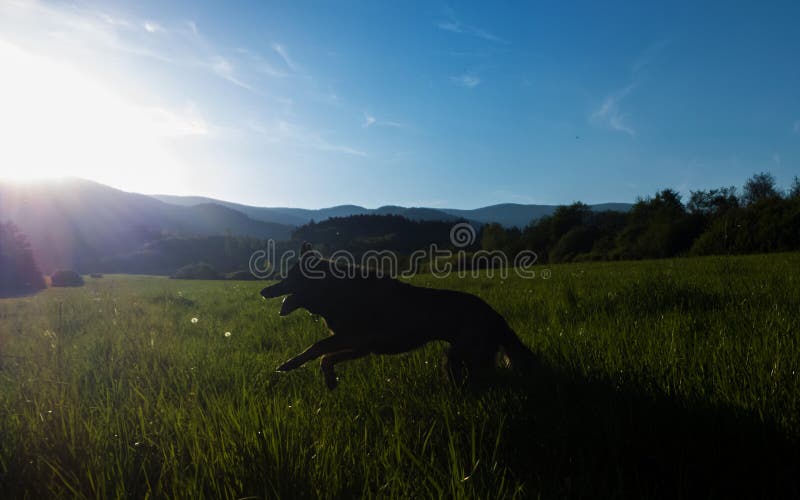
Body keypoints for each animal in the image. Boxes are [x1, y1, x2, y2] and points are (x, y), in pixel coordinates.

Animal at [262, 244, 536, 388]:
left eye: (288, 277)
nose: (263, 292)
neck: (334, 291)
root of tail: (496, 316)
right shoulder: (360, 346)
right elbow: (325, 357)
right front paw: (330, 379)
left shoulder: (355, 339)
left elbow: (316, 348)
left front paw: (290, 364)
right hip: (464, 358)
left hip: (457, 357)